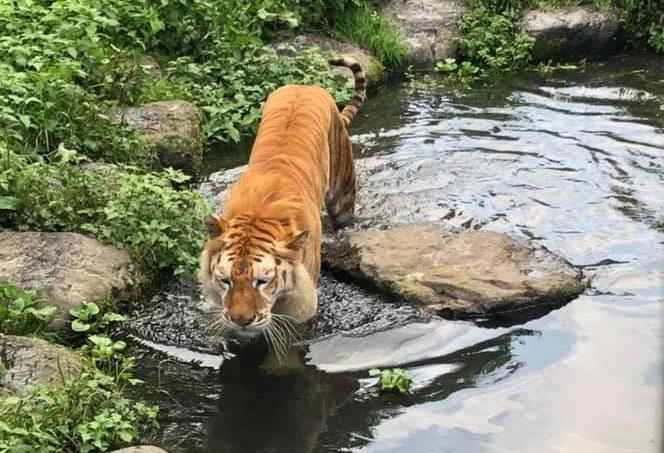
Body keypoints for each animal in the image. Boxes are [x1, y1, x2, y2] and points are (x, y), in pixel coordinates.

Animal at [200, 55, 366, 346]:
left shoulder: (299, 311)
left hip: (343, 196)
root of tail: (306, 85)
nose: (241, 320)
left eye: (261, 282)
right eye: (226, 280)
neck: (258, 213)